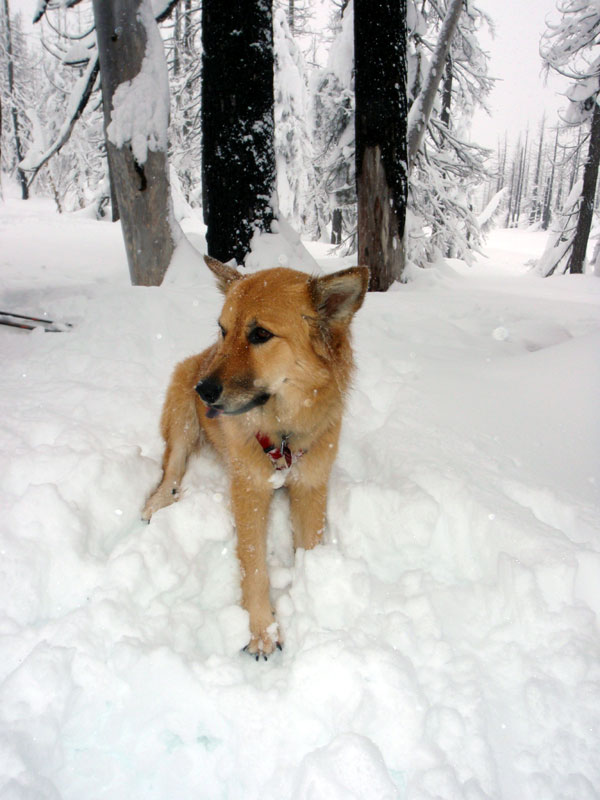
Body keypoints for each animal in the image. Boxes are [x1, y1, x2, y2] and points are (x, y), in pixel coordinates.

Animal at [144, 255, 370, 656]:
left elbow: (310, 546)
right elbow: (253, 564)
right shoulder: (249, 489)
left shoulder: (310, 486)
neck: (283, 433)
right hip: (182, 417)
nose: (203, 390)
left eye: (260, 334)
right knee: (171, 469)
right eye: (223, 330)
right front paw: (261, 630)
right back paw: (157, 502)